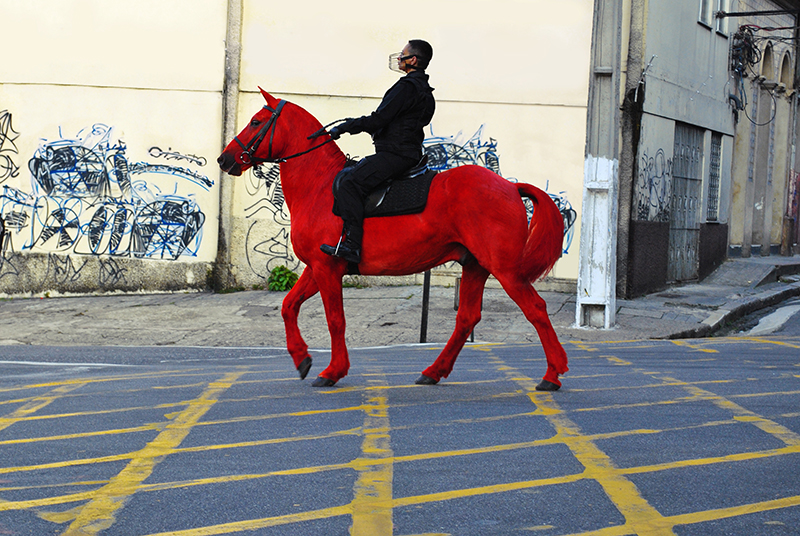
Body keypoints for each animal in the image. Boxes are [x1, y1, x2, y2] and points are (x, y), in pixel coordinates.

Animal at [219, 88, 568, 390]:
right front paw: (302, 358)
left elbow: (335, 320)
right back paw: (433, 371)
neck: (319, 186)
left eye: (256, 122)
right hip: (475, 266)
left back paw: (552, 374)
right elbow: (288, 306)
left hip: (505, 269)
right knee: (467, 318)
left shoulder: (327, 268)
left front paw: (333, 371)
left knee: (535, 309)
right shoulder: (317, 267)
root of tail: (509, 186)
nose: (225, 160)